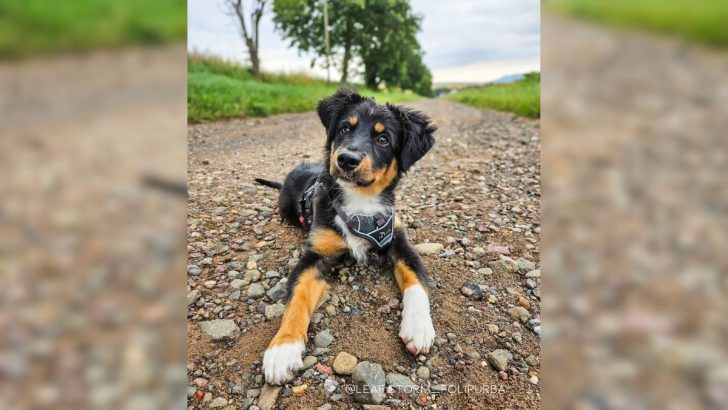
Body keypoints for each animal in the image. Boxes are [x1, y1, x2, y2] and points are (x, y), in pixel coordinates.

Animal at [256, 87, 438, 384]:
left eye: (383, 139)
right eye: (344, 128)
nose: (346, 159)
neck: (359, 203)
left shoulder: (399, 239)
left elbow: (416, 280)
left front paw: (418, 326)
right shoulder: (315, 253)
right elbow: (296, 298)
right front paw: (283, 349)